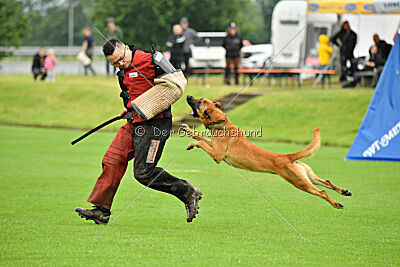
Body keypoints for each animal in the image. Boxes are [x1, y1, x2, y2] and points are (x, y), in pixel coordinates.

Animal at [183, 96, 352, 209]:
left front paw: (192, 143)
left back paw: (336, 204)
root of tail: (287, 157)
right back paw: (344, 191)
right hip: (307, 176)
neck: (221, 123)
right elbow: (201, 137)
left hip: (299, 182)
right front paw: (189, 131)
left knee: (322, 192)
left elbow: (201, 142)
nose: (188, 96)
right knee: (327, 182)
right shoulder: (214, 145)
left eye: (199, 102)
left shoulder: (217, 155)